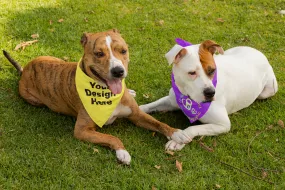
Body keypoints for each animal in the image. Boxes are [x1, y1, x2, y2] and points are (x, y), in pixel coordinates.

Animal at [140, 38, 278, 151]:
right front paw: (139, 109)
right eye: (192, 73)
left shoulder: (223, 124)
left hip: (267, 90)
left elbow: (193, 128)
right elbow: (150, 106)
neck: (187, 97)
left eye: (212, 70)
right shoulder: (171, 100)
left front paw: (178, 140)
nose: (210, 92)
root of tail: (258, 52)